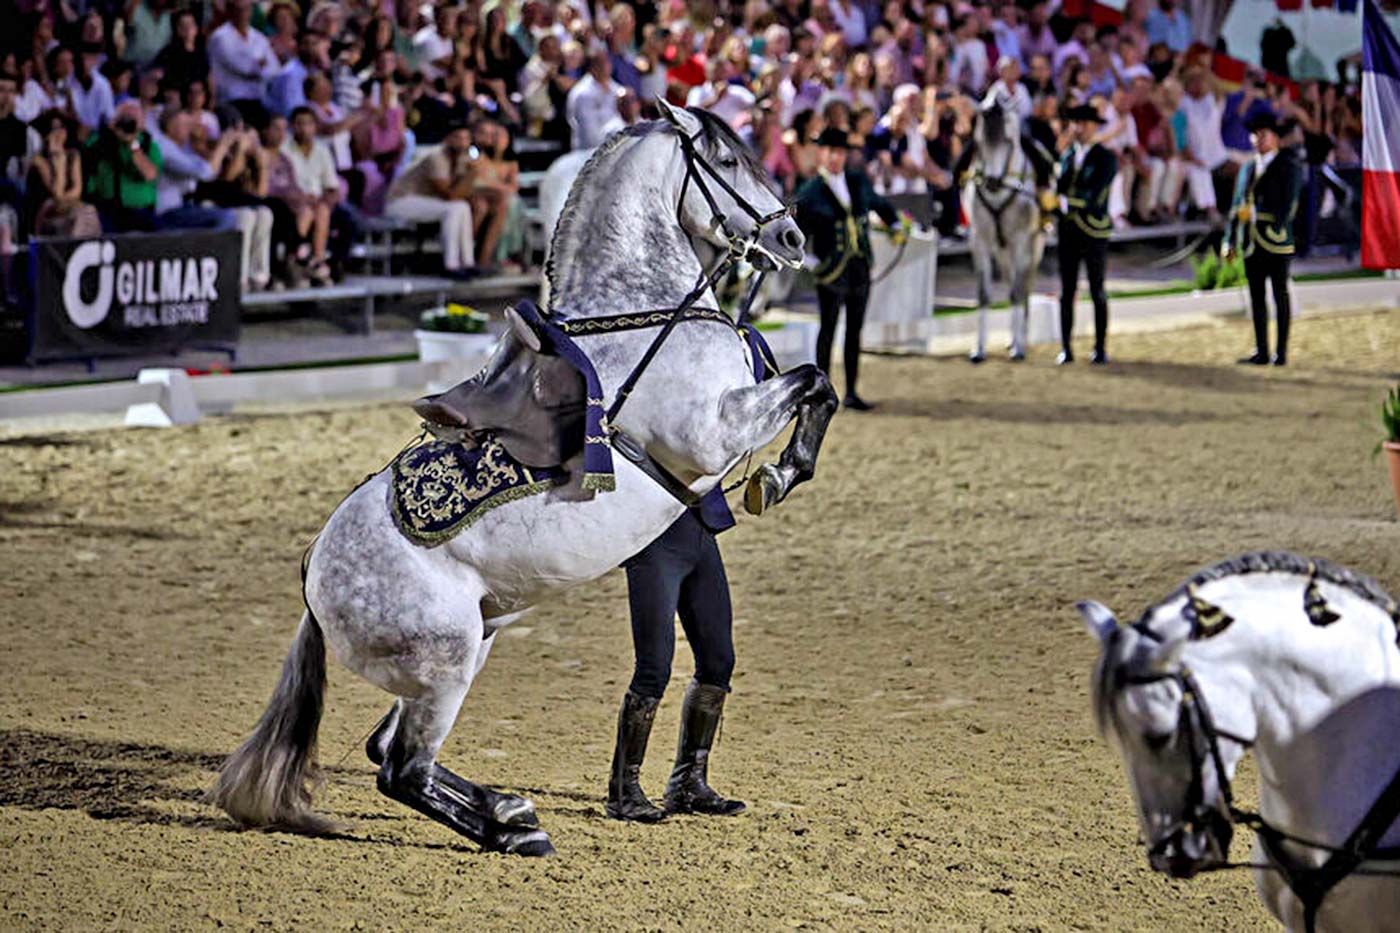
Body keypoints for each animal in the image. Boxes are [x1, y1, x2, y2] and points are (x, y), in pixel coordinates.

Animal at [210, 100, 828, 851]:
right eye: (730, 159)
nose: (793, 237)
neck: (639, 315)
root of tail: (312, 575)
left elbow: (814, 382)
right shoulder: (714, 432)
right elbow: (813, 381)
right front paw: (782, 473)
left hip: (471, 644)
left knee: (388, 752)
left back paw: (510, 810)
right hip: (444, 664)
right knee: (402, 769)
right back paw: (514, 829)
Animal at [968, 92, 1047, 364]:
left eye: (1008, 141)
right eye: (979, 142)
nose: (991, 182)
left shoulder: (1021, 241)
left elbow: (1017, 293)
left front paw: (1019, 349)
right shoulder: (980, 242)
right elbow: (983, 294)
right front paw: (978, 350)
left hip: (1033, 247)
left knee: (1024, 289)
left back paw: (1021, 341)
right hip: (1002, 252)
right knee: (1013, 281)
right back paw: (1013, 339)